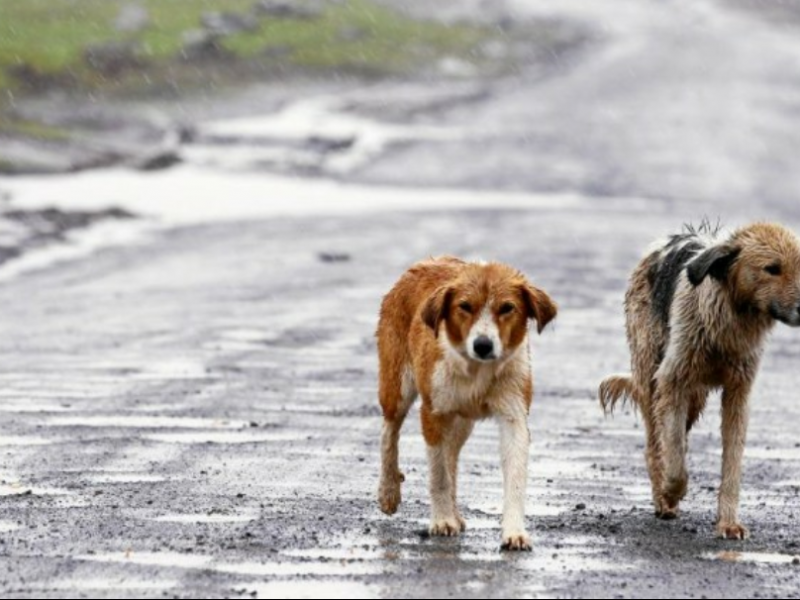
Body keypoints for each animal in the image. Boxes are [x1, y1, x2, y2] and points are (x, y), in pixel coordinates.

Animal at [376, 255, 556, 552]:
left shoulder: (514, 415)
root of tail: (425, 262)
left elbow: (514, 477)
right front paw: (441, 520)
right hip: (397, 387)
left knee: (451, 455)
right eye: (465, 306)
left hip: (462, 422)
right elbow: (438, 475)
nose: (483, 345)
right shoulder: (433, 412)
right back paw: (389, 491)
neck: (477, 371)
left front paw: (514, 532)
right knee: (389, 433)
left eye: (507, 308)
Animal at [600, 223, 800, 540]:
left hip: (694, 397)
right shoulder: (671, 381)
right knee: (655, 445)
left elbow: (731, 464)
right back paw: (663, 500)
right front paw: (671, 492)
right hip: (652, 377)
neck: (729, 321)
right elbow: (674, 460)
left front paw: (729, 522)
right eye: (772, 269)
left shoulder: (738, 394)